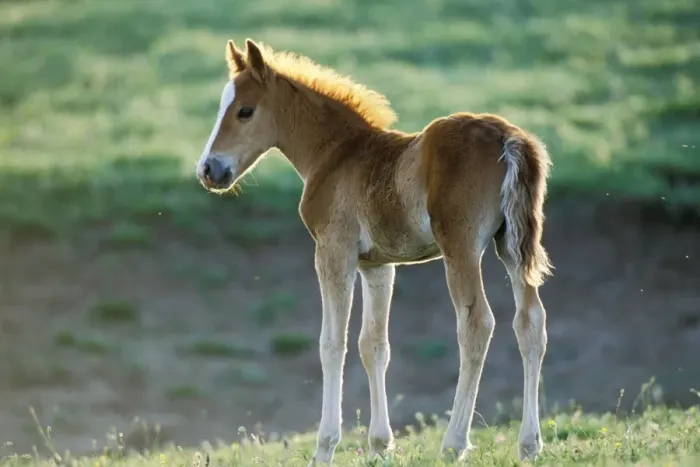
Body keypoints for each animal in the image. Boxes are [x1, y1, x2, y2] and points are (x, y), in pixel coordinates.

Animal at [195, 38, 553, 465]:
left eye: (245, 111)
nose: (209, 170)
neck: (335, 154)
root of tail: (508, 137)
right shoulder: (378, 266)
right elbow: (373, 345)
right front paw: (381, 445)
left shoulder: (334, 251)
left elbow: (333, 343)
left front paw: (325, 447)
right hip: (511, 246)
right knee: (530, 322)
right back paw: (529, 444)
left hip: (461, 246)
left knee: (476, 324)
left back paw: (454, 443)